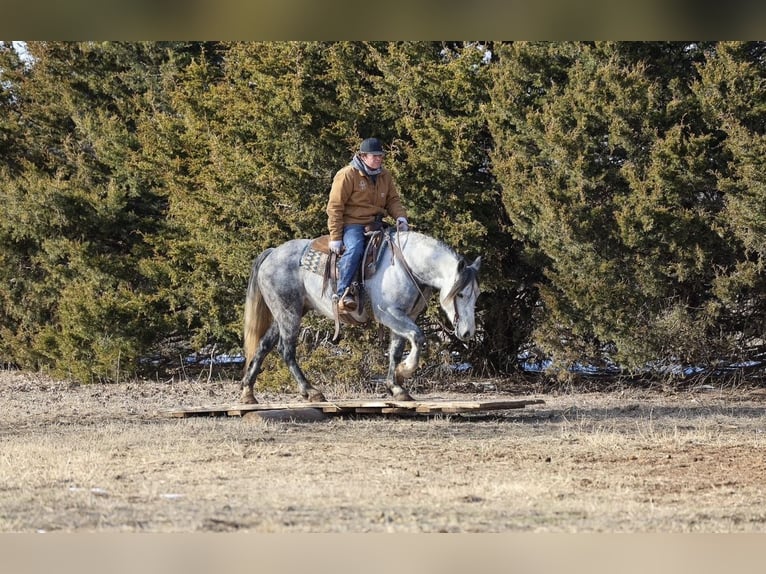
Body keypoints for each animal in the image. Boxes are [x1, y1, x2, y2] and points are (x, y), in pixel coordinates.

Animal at [240, 229, 481, 404]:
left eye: (476, 294)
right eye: (460, 294)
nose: (468, 332)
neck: (406, 265)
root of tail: (271, 253)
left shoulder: (402, 317)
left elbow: (395, 351)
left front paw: (397, 388)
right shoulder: (389, 314)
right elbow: (418, 336)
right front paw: (404, 371)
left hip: (284, 313)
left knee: (263, 346)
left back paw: (248, 393)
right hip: (289, 313)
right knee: (286, 350)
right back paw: (312, 391)